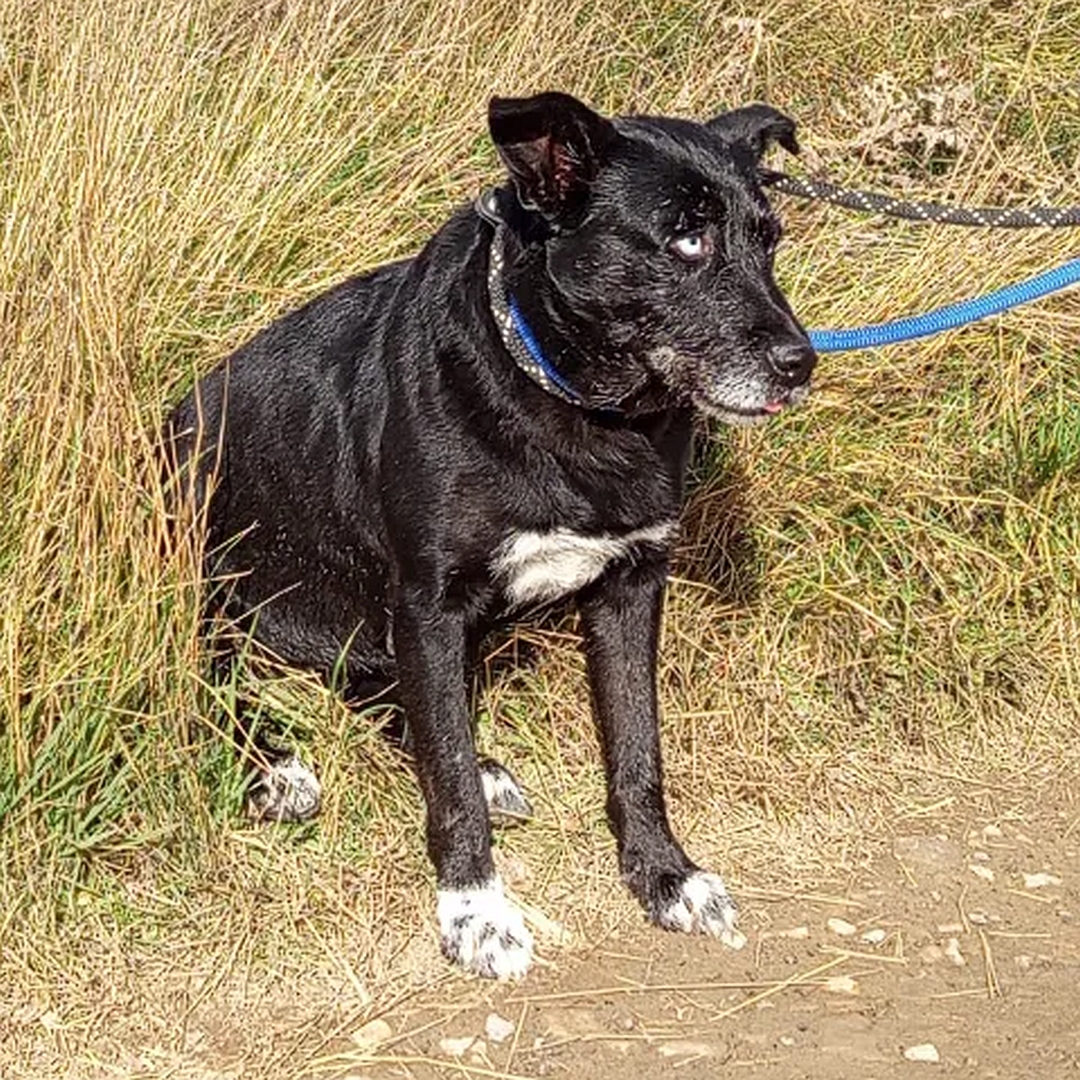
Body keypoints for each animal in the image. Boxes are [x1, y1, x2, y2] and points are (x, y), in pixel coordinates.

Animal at [166, 92, 812, 980]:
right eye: (687, 238)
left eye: (770, 238)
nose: (801, 362)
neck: (572, 402)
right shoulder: (429, 606)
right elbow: (449, 787)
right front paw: (475, 912)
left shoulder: (628, 588)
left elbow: (637, 751)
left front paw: (664, 875)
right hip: (206, 573)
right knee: (216, 679)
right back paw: (278, 767)